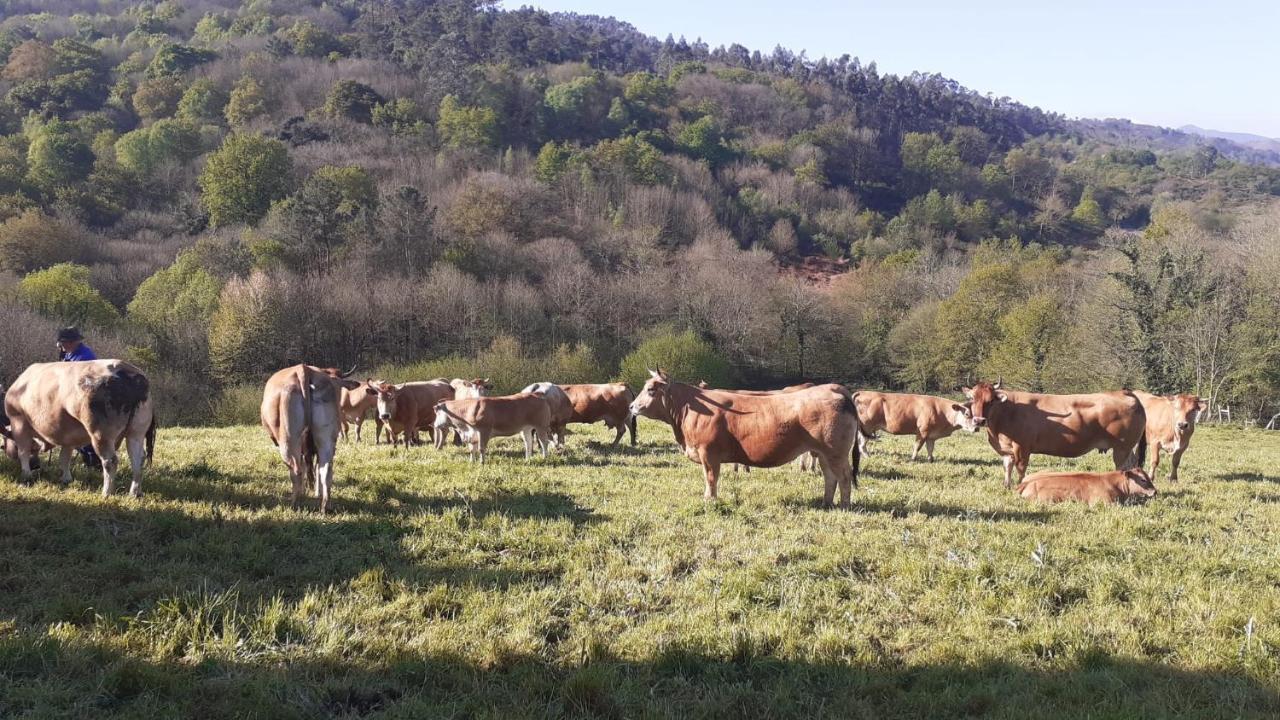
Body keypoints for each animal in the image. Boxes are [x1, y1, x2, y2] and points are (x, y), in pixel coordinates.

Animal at [4, 361, 156, 497]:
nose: (36, 466)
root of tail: (126, 371)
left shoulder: (18, 421)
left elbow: (23, 451)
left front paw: (26, 475)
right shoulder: (67, 436)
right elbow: (64, 458)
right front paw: (66, 479)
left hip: (101, 435)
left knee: (110, 461)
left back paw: (106, 493)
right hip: (136, 433)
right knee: (138, 459)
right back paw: (135, 493)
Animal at [258, 363, 360, 509]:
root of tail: (303, 369)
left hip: (288, 439)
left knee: (296, 469)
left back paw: (295, 503)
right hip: (325, 439)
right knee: (326, 469)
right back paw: (325, 505)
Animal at [627, 368, 860, 504]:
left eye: (650, 389)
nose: (631, 406)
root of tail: (834, 389)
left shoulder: (708, 454)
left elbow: (711, 478)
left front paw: (710, 500)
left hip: (836, 453)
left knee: (844, 478)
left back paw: (844, 505)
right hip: (824, 453)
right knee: (830, 477)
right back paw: (826, 503)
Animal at [962, 376, 1152, 486]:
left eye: (991, 400)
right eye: (973, 399)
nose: (979, 420)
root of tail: (1126, 393)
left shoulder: (1022, 447)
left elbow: (1021, 469)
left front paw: (1020, 486)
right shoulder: (1007, 449)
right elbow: (1007, 467)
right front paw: (1006, 486)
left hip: (1122, 448)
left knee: (1125, 467)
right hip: (1127, 448)